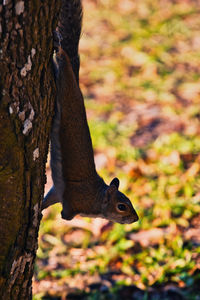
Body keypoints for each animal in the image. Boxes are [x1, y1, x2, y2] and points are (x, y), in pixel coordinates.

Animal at [41, 0, 139, 225]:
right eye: (122, 206)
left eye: (130, 201)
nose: (136, 218)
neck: (97, 199)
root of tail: (77, 87)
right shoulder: (73, 199)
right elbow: (67, 214)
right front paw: (62, 216)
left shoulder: (57, 192)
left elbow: (48, 198)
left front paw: (39, 210)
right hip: (67, 87)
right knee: (63, 59)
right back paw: (59, 47)